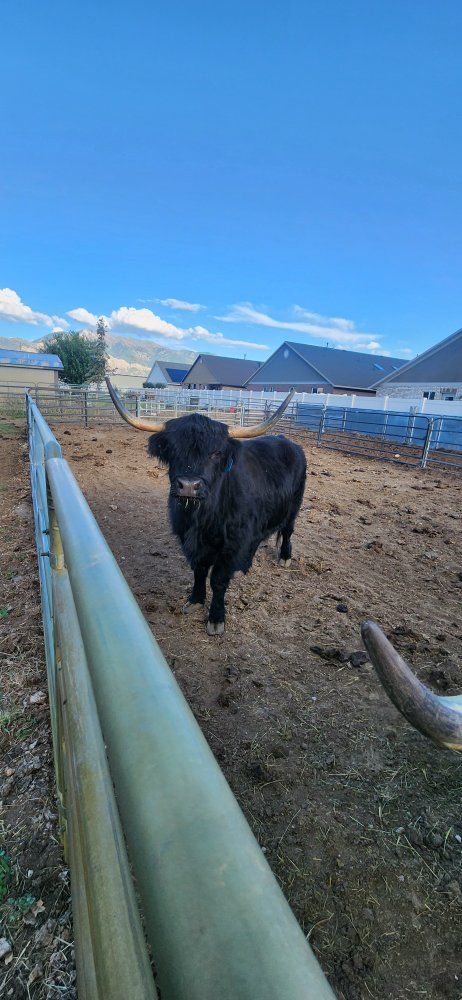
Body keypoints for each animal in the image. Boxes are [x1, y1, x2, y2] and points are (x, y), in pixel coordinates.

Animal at [106, 379, 306, 635]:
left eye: (216, 453)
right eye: (172, 450)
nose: (189, 486)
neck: (200, 518)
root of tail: (289, 443)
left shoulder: (232, 542)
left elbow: (218, 579)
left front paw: (216, 617)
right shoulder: (190, 540)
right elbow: (199, 570)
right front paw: (195, 600)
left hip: (293, 507)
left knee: (288, 531)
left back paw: (284, 557)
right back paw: (245, 566)